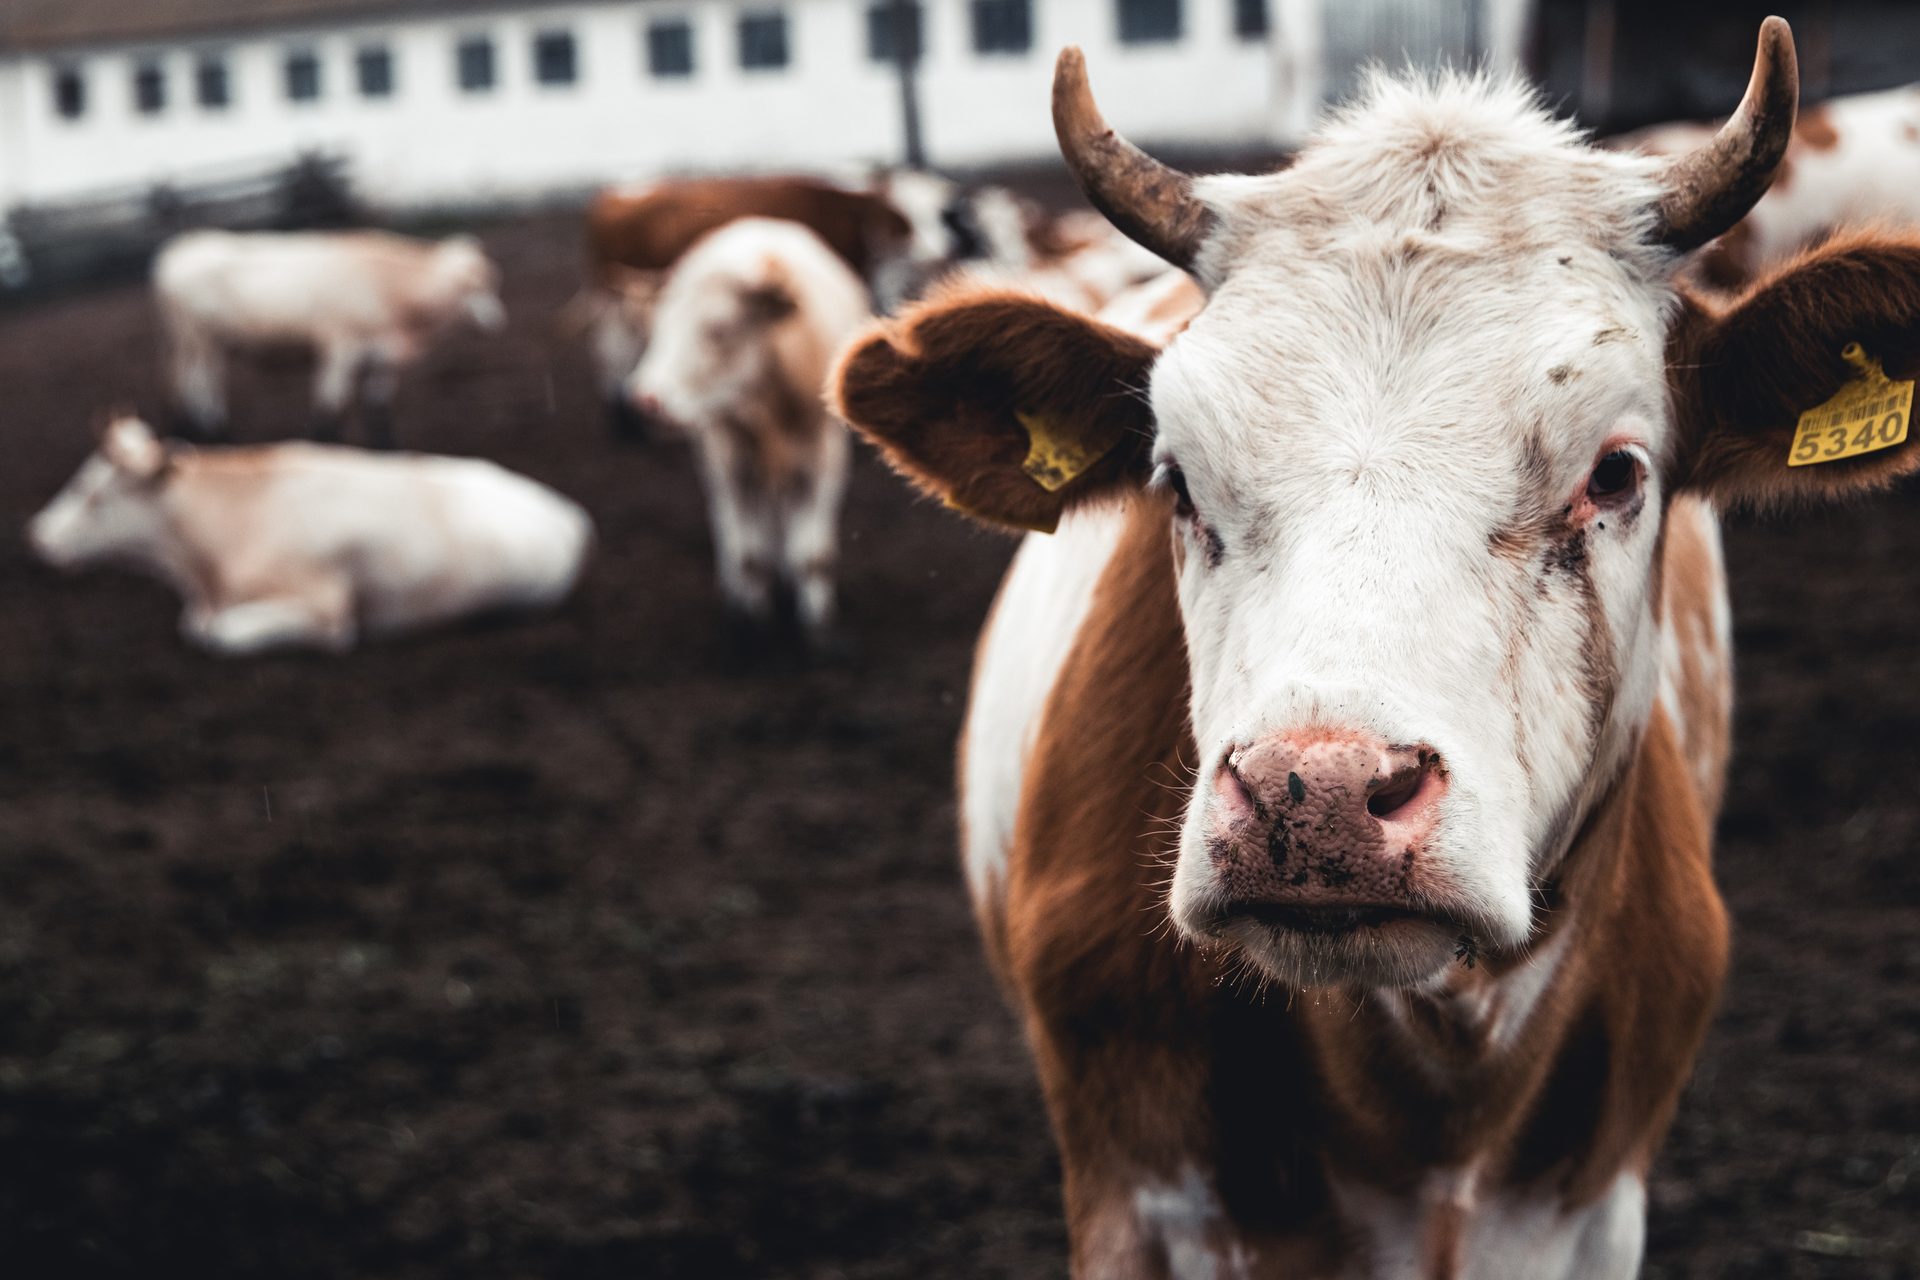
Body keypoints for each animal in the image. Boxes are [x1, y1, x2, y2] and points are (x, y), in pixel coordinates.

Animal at [27, 416, 591, 656]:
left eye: (92, 494)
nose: (37, 536)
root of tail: (565, 512)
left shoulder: (325, 614)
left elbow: (219, 635)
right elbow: (195, 627)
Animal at [154, 229, 507, 449]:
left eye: (492, 282)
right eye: (475, 286)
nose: (498, 321)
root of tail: (186, 246)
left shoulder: (381, 355)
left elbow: (377, 406)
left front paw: (387, 448)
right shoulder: (340, 347)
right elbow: (331, 405)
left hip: (207, 340)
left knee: (200, 382)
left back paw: (206, 433)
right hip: (196, 336)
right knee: (197, 382)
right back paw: (214, 435)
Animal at [627, 218, 870, 650]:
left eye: (719, 329)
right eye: (657, 326)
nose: (644, 400)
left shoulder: (824, 457)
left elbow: (813, 556)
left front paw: (817, 628)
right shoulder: (732, 460)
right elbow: (750, 556)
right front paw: (751, 625)